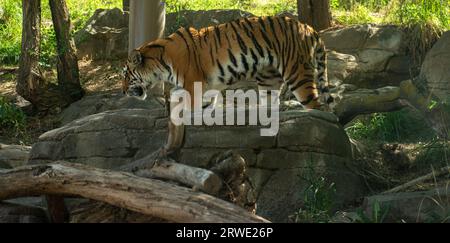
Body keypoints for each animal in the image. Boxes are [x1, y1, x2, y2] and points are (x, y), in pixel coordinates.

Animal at [122, 15, 334, 109]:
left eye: (126, 75)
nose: (122, 91)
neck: (160, 62)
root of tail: (308, 27)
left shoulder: (193, 84)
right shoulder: (210, 85)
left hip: (297, 73)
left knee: (316, 105)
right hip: (268, 79)